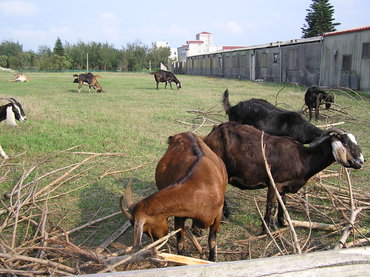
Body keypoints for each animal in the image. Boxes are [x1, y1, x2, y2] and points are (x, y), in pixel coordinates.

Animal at [120, 130, 227, 260]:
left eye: (146, 229)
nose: (158, 238)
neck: (201, 189)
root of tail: (183, 133)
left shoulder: (218, 215)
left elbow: (212, 241)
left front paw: (212, 259)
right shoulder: (180, 215)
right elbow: (180, 242)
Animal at [204, 122, 366, 232]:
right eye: (346, 143)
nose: (361, 161)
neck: (303, 158)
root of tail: (210, 135)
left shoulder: (284, 186)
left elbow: (283, 205)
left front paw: (281, 224)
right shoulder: (274, 183)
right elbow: (270, 205)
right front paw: (266, 231)